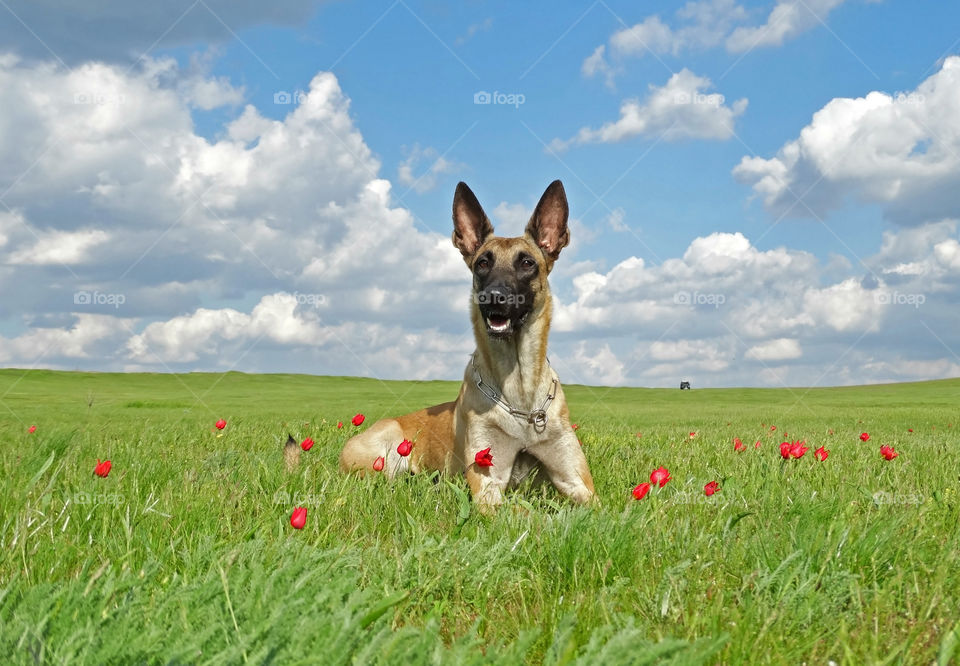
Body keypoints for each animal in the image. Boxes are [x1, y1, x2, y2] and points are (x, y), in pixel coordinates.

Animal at [338, 179, 592, 510]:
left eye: (527, 263)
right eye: (483, 263)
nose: (493, 296)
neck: (520, 395)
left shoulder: (578, 483)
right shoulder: (488, 487)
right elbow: (522, 513)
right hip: (387, 451)